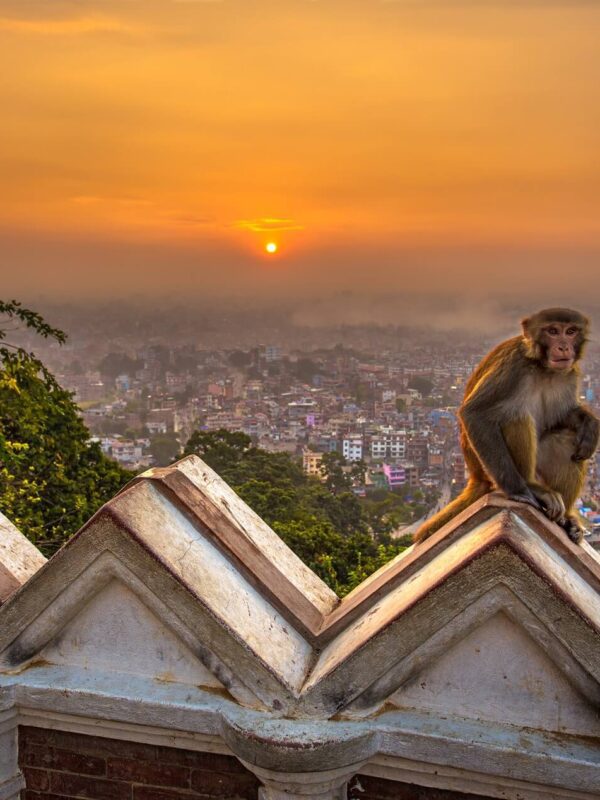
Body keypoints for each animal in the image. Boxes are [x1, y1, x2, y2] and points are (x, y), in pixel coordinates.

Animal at [418, 306, 600, 544]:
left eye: (570, 331)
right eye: (552, 331)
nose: (563, 346)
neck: (542, 367)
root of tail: (475, 474)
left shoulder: (570, 374)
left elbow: (561, 417)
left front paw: (590, 423)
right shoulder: (514, 365)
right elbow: (475, 413)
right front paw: (520, 490)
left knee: (564, 440)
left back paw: (566, 520)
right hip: (487, 468)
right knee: (514, 416)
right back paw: (532, 487)